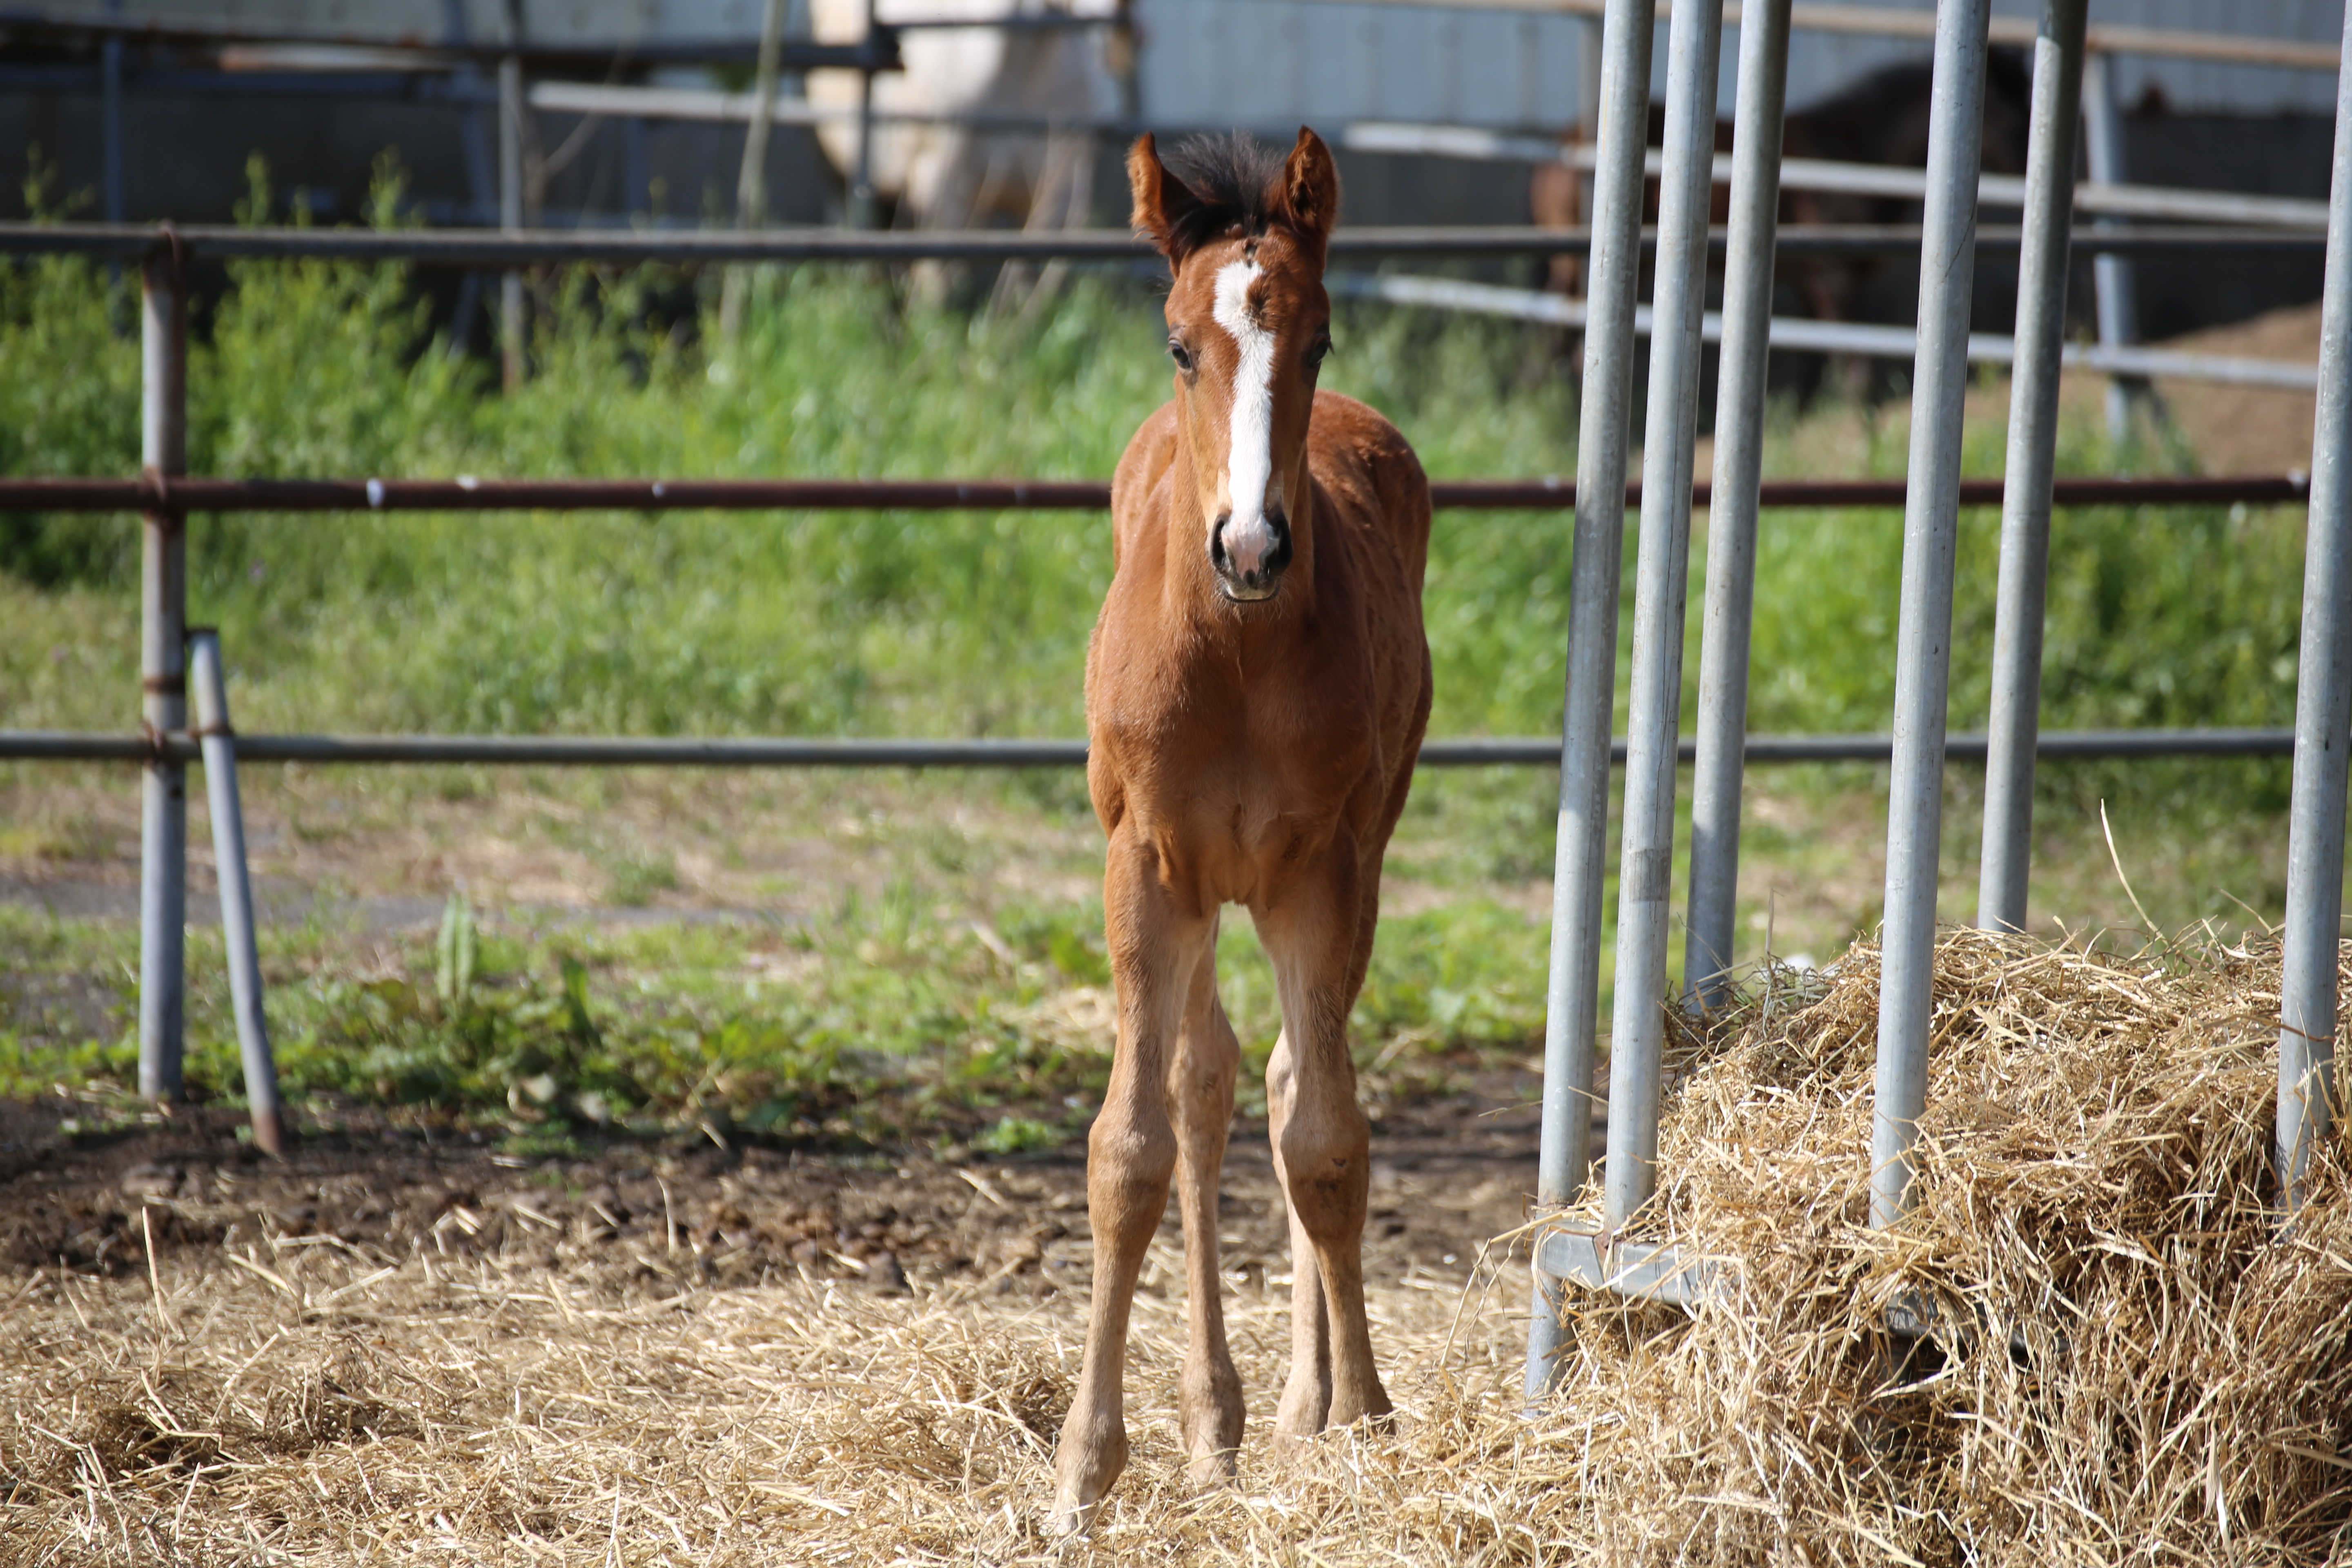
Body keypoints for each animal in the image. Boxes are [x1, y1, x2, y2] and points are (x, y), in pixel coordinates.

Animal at [1054, 129, 1430, 1542]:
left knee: (1275, 1083)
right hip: (1207, 891)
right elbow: (1131, 1150)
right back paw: (1212, 1420)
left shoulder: (1320, 871)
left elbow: (1325, 1140)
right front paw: (1084, 1469)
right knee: (1206, 1085)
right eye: (1178, 344)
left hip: (1323, 871)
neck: (1239, 655)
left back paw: (1296, 1404)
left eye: (1317, 339)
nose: (1253, 547)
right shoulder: (1146, 866)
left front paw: (1363, 1419)